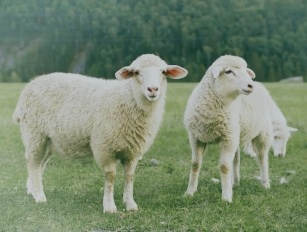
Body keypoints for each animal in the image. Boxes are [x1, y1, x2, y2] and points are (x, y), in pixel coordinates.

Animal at [13, 53, 189, 213]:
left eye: (163, 72)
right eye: (137, 72)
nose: (153, 89)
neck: (128, 100)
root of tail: (32, 84)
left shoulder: (133, 151)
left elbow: (129, 176)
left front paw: (130, 204)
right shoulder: (105, 148)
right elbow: (110, 177)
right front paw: (110, 207)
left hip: (49, 140)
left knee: (39, 164)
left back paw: (32, 190)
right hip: (34, 134)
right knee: (33, 162)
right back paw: (39, 196)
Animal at [184, 54, 274, 203]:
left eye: (245, 71)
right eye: (228, 71)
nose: (251, 85)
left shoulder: (228, 137)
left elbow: (224, 167)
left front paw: (226, 197)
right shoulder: (196, 138)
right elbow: (195, 165)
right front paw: (189, 192)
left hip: (262, 133)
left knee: (262, 158)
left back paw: (265, 184)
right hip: (235, 134)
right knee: (236, 160)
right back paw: (234, 183)